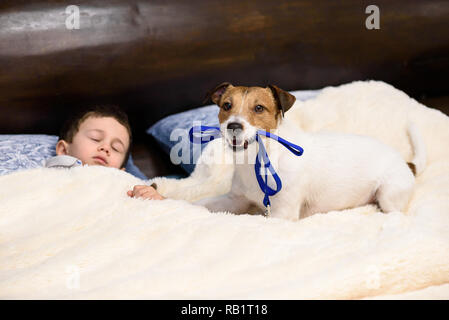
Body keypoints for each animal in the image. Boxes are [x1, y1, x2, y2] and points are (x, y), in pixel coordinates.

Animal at [151, 82, 424, 220]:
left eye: (259, 108)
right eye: (226, 105)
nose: (233, 126)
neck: (258, 159)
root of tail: (405, 162)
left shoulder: (281, 214)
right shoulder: (234, 200)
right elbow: (201, 203)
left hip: (389, 193)